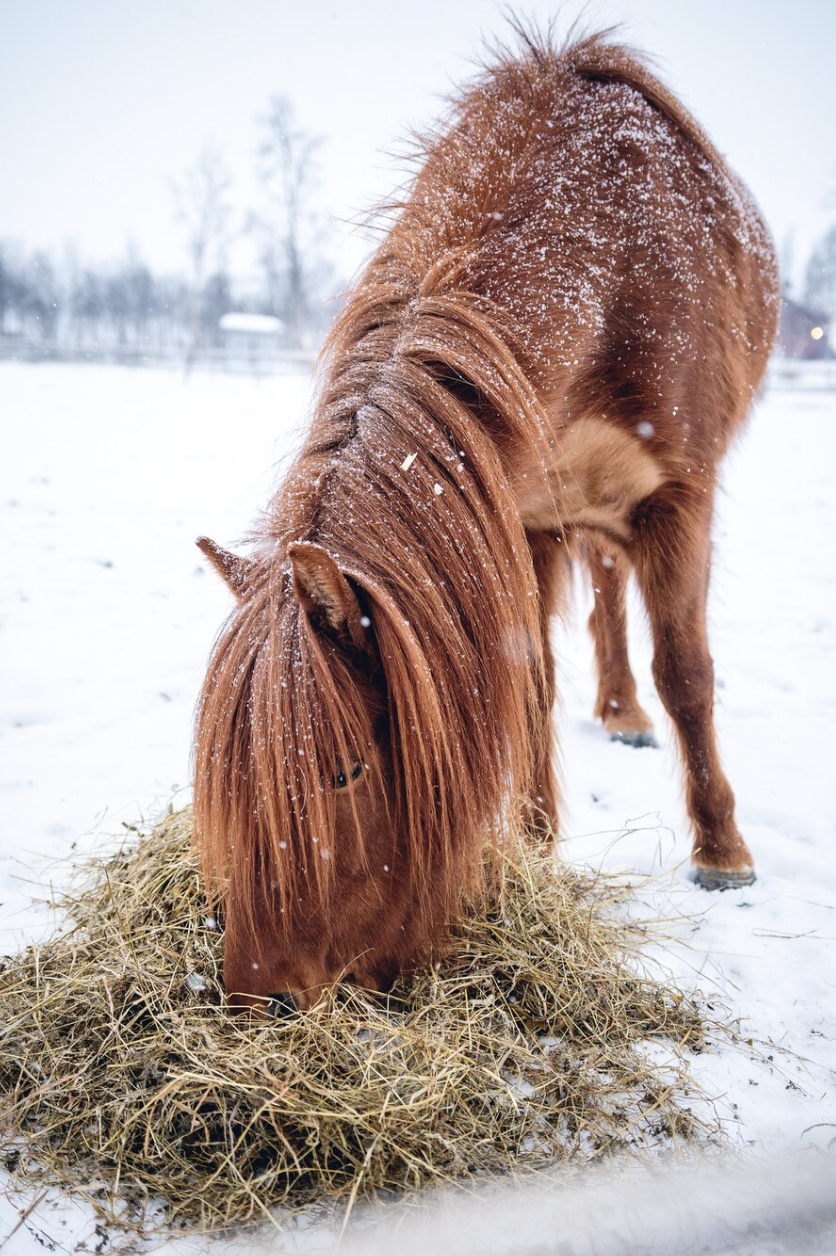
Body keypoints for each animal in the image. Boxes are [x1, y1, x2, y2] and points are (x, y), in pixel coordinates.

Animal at [192, 27, 778, 1009]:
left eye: (345, 772)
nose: (254, 997)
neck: (610, 257)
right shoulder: (525, 515)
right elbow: (527, 677)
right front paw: (534, 839)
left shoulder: (679, 497)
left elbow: (688, 673)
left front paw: (723, 854)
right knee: (602, 593)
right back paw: (615, 709)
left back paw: (635, 721)